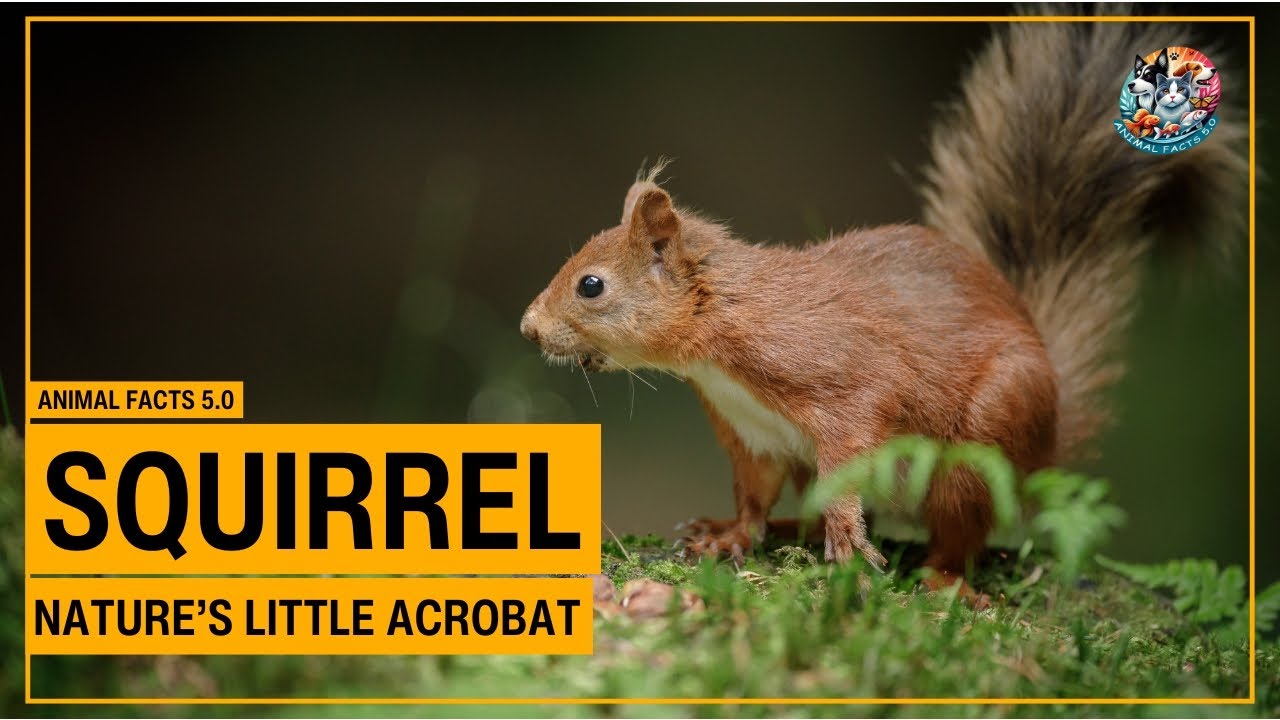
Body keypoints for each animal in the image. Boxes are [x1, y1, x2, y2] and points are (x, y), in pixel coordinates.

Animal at [518, 21, 1246, 598]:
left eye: (590, 286)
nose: (528, 329)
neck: (721, 336)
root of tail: (1047, 440)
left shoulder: (839, 378)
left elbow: (854, 441)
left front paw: (847, 539)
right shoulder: (753, 433)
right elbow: (752, 493)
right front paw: (728, 535)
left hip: (981, 441)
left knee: (962, 531)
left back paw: (943, 579)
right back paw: (794, 528)